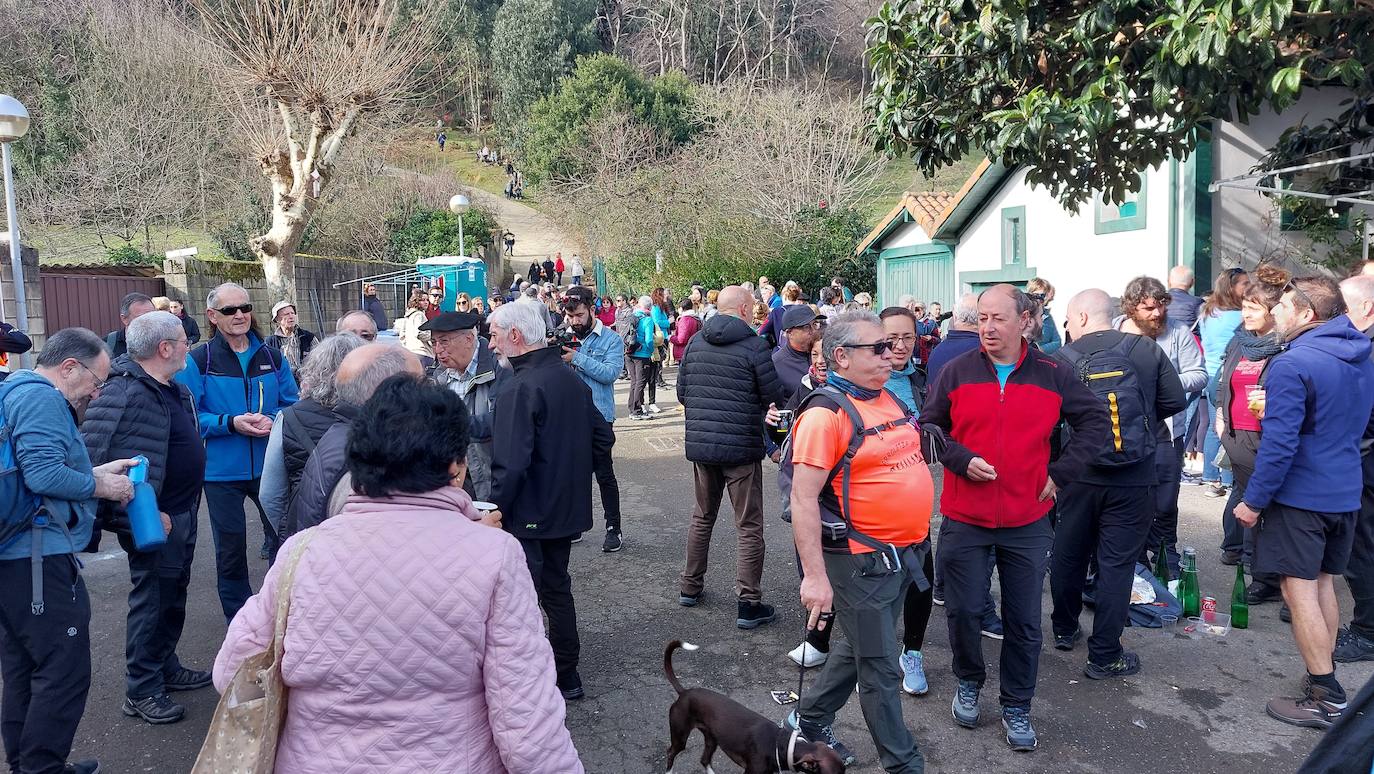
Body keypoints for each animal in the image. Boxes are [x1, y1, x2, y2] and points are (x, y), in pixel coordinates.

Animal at [659, 643, 840, 774]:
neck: (780, 744)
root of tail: (684, 692)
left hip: (712, 738)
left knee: (704, 760)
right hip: (680, 736)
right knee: (671, 753)